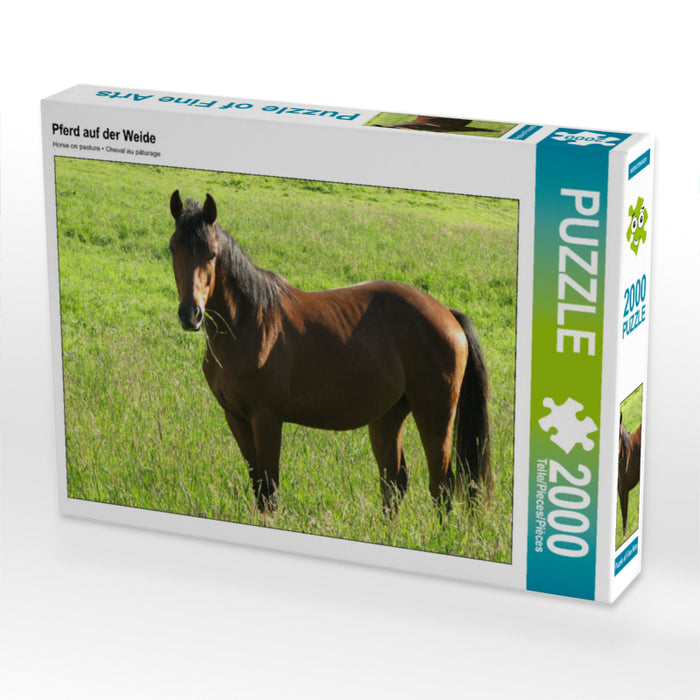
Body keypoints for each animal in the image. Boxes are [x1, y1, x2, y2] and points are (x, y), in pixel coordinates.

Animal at [168, 190, 492, 514]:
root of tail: (448, 314)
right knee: (394, 484)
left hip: (435, 417)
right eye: (173, 248)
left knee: (441, 487)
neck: (249, 322)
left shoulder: (267, 419)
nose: (191, 314)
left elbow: (270, 492)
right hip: (388, 416)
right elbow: (259, 489)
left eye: (212, 253)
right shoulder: (236, 418)